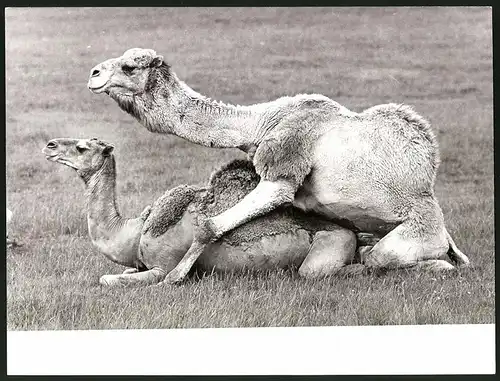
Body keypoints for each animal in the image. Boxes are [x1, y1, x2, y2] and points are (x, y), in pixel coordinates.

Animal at [44, 137, 386, 284]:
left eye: (82, 147)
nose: (49, 145)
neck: (134, 230)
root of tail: (351, 232)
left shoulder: (161, 266)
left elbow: (108, 279)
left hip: (331, 243)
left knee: (324, 270)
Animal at [87, 48, 472, 282]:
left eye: (129, 66)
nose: (93, 73)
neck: (261, 123)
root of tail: (443, 231)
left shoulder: (282, 169)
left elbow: (209, 226)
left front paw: (175, 276)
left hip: (418, 233)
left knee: (385, 257)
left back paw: (438, 265)